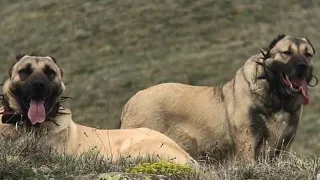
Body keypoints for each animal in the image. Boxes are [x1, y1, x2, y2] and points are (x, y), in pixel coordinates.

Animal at [120, 34, 318, 162]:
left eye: (308, 54)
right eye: (287, 53)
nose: (302, 66)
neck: (277, 97)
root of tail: (130, 102)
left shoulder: (284, 146)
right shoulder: (248, 142)